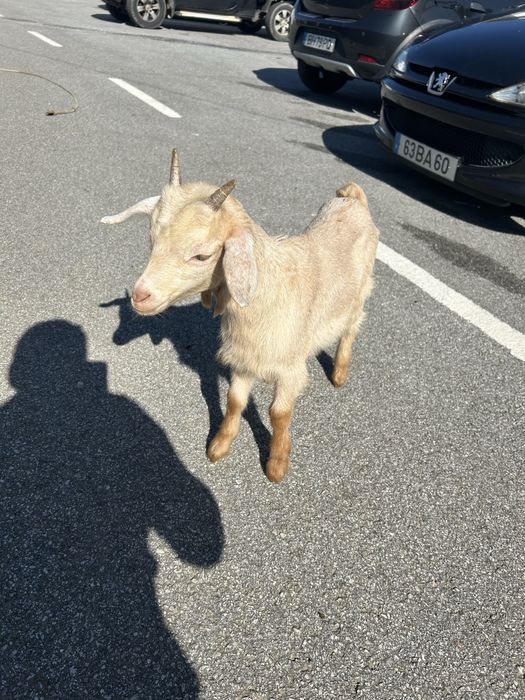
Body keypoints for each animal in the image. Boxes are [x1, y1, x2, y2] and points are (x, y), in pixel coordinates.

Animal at [101, 150, 379, 482]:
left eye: (202, 255)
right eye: (151, 239)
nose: (141, 296)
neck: (267, 292)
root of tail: (353, 198)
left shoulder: (289, 368)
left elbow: (279, 413)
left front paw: (277, 463)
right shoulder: (245, 357)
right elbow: (234, 400)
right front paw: (219, 445)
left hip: (359, 294)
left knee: (351, 327)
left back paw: (339, 373)